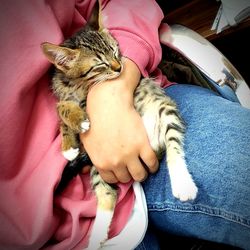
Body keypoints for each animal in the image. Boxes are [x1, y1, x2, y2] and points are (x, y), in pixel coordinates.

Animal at [41, 23, 197, 250]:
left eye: (115, 52)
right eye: (100, 64)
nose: (119, 67)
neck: (73, 84)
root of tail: (154, 144)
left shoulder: (87, 99)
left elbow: (62, 107)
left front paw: (76, 123)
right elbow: (61, 108)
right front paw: (69, 145)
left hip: (165, 111)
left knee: (174, 148)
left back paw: (183, 184)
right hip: (99, 166)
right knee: (108, 195)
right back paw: (96, 239)